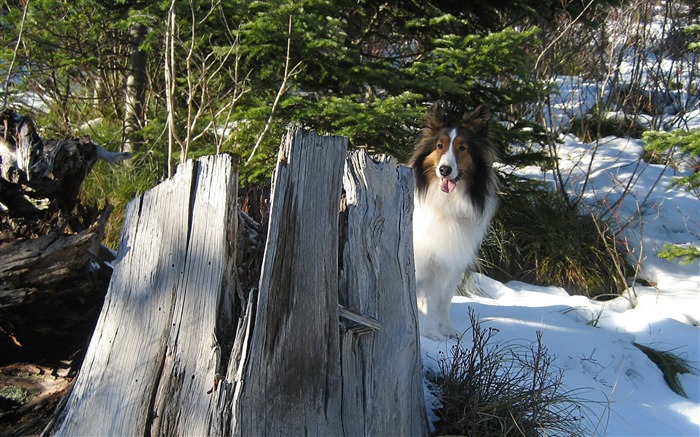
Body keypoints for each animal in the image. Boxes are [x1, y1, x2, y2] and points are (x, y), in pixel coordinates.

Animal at [410, 101, 498, 338]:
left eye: (462, 148)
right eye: (440, 146)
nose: (444, 170)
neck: (447, 204)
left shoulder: (451, 263)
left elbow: (443, 300)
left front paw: (447, 330)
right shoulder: (422, 262)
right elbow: (422, 301)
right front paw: (428, 332)